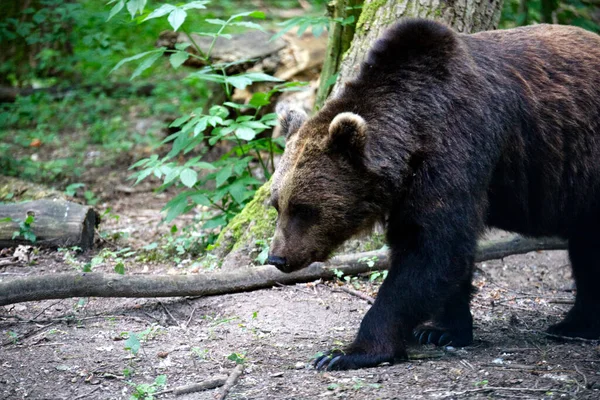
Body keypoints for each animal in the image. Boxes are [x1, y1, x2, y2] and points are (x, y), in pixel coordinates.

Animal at [266, 18, 600, 368]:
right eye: (277, 204)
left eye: (305, 208)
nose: (278, 257)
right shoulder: (414, 187)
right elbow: (443, 253)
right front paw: (442, 330)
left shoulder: (458, 148)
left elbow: (432, 252)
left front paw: (348, 352)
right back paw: (575, 323)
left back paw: (575, 325)